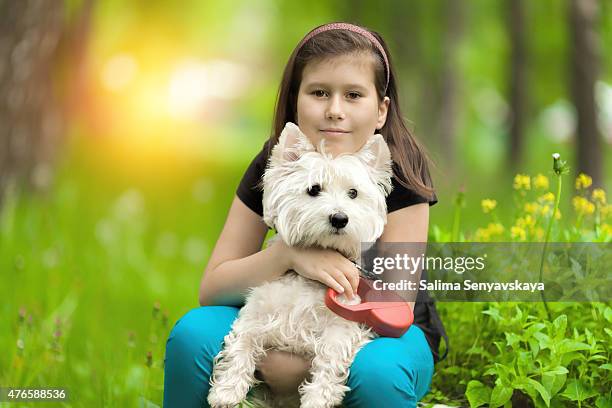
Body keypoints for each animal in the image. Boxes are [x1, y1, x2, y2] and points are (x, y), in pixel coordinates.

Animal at [208, 122, 394, 408]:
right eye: (314, 189)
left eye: (353, 193)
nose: (339, 218)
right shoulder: (258, 314)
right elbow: (242, 342)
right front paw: (226, 390)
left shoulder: (343, 325)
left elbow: (330, 356)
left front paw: (318, 397)